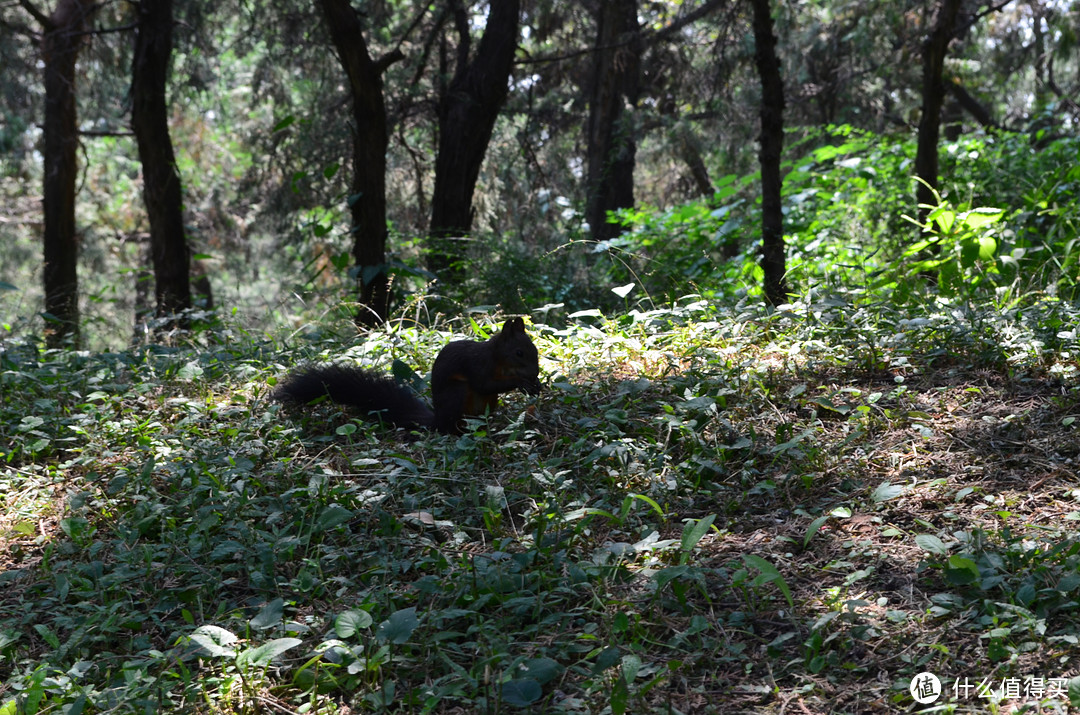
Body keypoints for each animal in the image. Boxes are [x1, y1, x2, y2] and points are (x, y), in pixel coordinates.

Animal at [270, 319, 540, 434]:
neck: (500, 361)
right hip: (456, 394)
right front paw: (522, 382)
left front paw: (534, 384)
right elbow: (484, 384)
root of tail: (436, 420)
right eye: (519, 353)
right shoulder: (478, 366)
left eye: (535, 350)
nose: (536, 372)